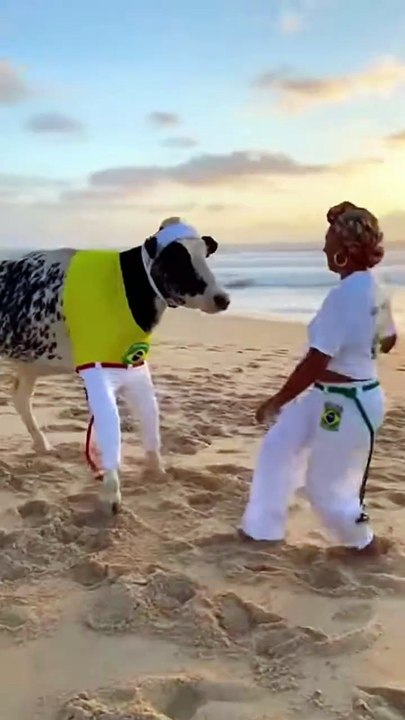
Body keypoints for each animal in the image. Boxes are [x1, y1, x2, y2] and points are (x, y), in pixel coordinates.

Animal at [0, 217, 230, 512]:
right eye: (177, 260)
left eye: (206, 254)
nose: (222, 298)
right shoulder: (96, 372)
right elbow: (110, 427)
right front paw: (111, 494)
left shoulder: (136, 367)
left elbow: (150, 417)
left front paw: (156, 472)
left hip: (30, 363)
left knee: (20, 397)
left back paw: (42, 445)